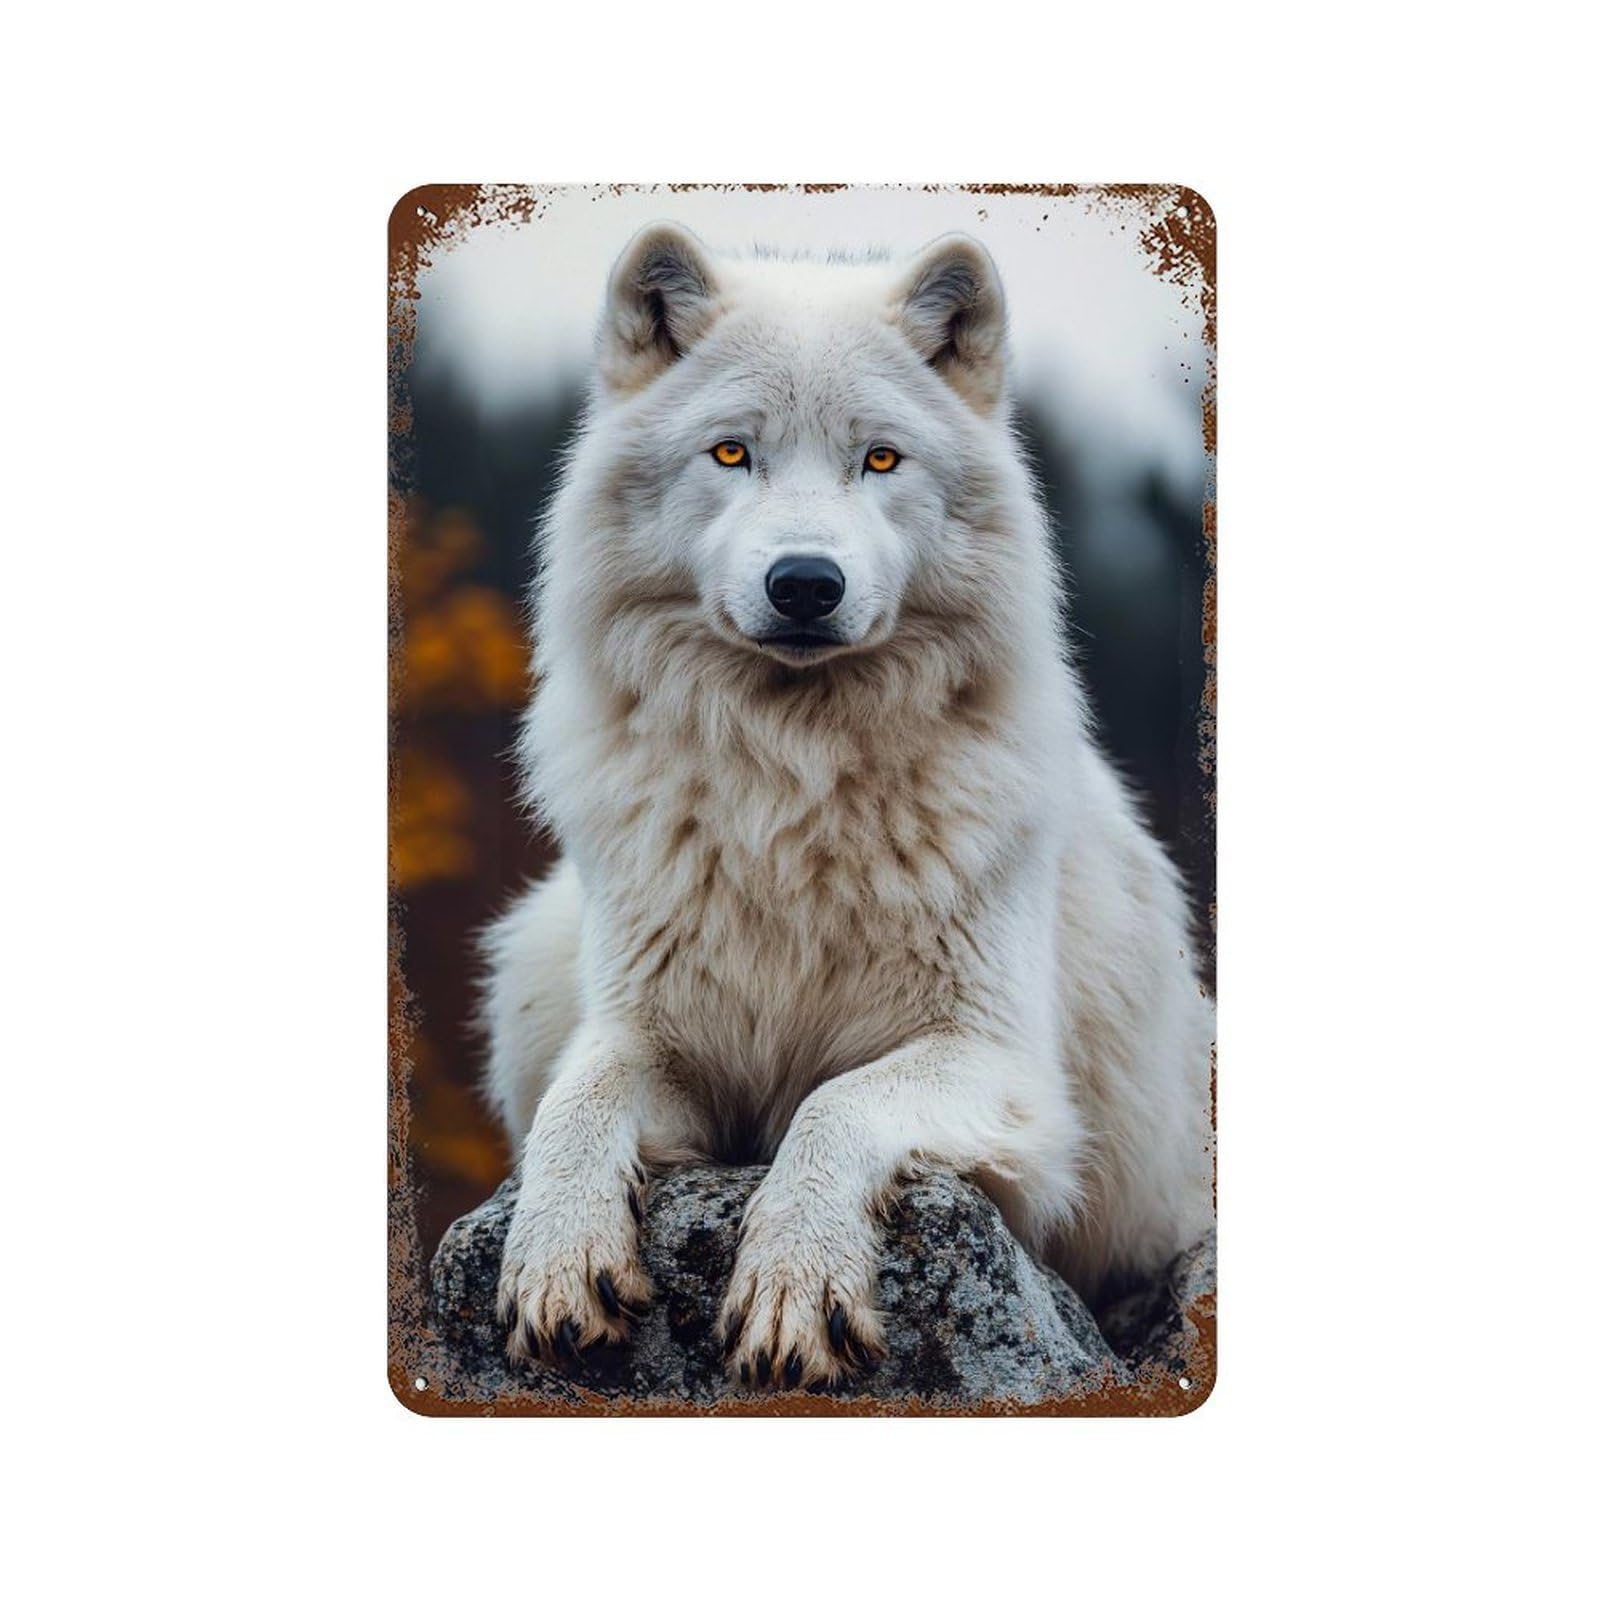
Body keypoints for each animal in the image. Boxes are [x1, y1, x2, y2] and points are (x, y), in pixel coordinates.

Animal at [481, 222, 1214, 1389]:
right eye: (731, 454)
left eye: (879, 459)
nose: (804, 583)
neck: (795, 782)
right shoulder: (651, 1033)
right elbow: (576, 1099)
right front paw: (556, 1257)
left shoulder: (999, 1067)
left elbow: (835, 1107)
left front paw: (795, 1286)